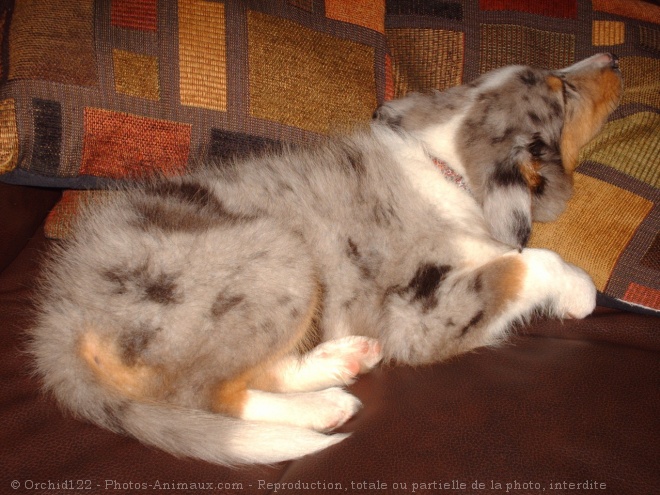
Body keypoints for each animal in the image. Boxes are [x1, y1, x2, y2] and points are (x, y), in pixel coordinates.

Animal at [29, 56, 620, 466]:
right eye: (561, 89)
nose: (613, 60)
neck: (448, 168)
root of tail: (62, 315)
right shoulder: (420, 316)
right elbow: (530, 260)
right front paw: (579, 292)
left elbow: (508, 253)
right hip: (277, 253)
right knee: (204, 394)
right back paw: (320, 408)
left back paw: (340, 365)